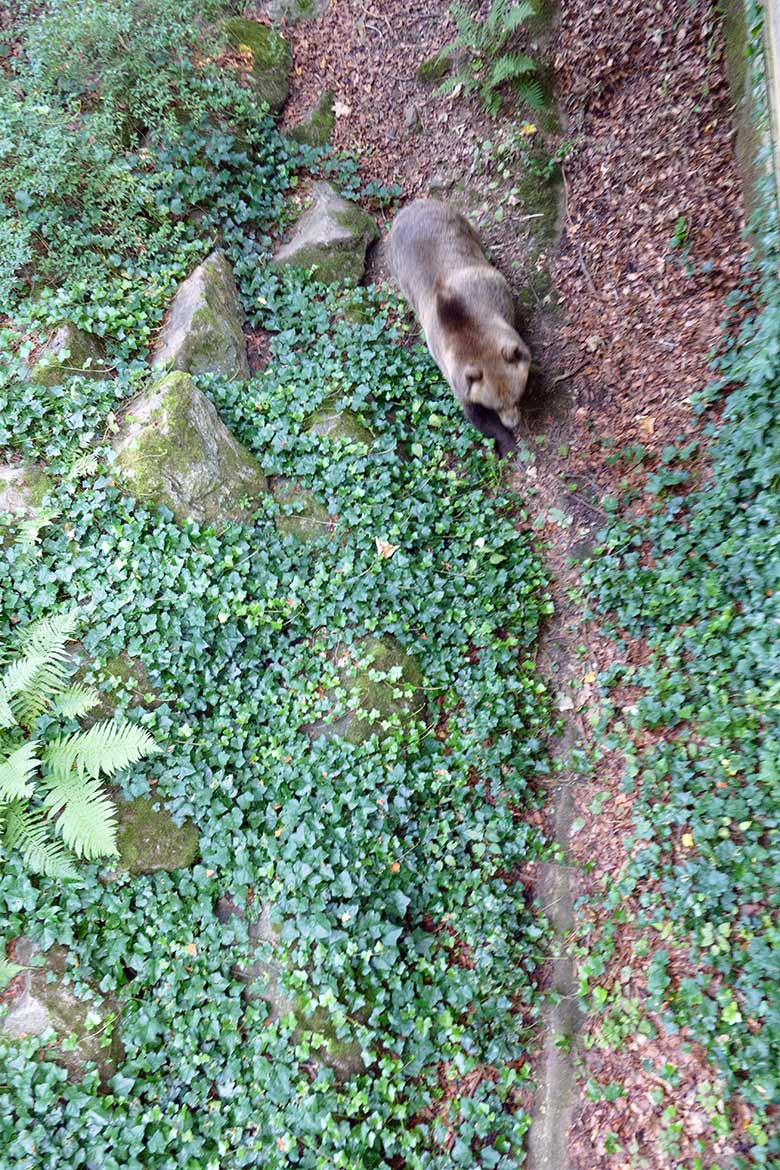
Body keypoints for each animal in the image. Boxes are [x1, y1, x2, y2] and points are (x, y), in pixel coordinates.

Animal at [390, 198, 530, 458]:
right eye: (495, 405)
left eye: (517, 396)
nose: (512, 422)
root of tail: (409, 207)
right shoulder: (455, 374)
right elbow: (476, 416)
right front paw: (506, 442)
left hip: (457, 223)